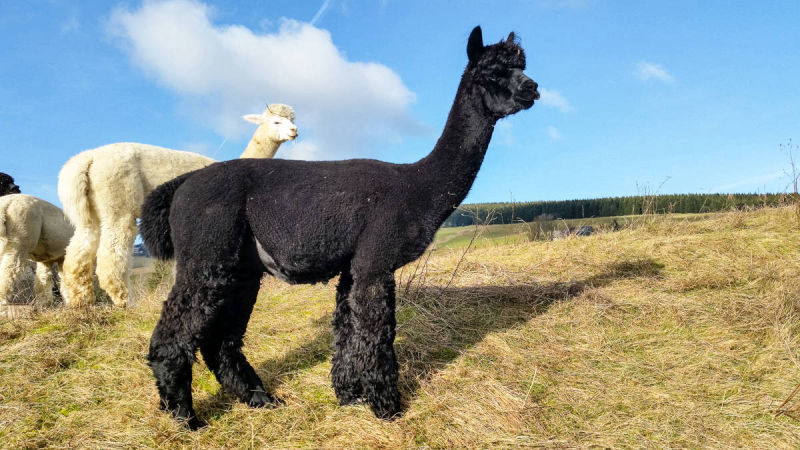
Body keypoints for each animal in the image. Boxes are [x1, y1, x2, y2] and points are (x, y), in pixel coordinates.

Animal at [58, 104, 297, 308]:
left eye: (292, 119)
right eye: (276, 121)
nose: (295, 130)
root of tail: (88, 158)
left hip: (92, 212)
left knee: (77, 254)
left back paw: (79, 302)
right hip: (118, 201)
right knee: (111, 255)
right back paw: (126, 303)